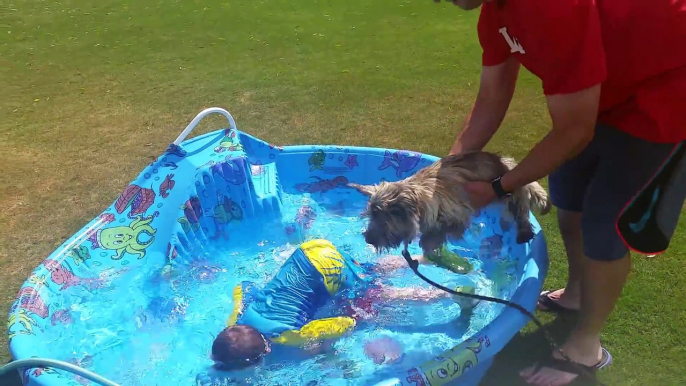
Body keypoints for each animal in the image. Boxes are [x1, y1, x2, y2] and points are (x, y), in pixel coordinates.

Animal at [350, 149, 552, 255]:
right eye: (370, 216)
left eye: (382, 219)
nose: (367, 238)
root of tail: (504, 161)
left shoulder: (457, 215)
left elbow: (443, 229)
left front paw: (429, 242)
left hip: (514, 190)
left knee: (522, 208)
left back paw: (524, 230)